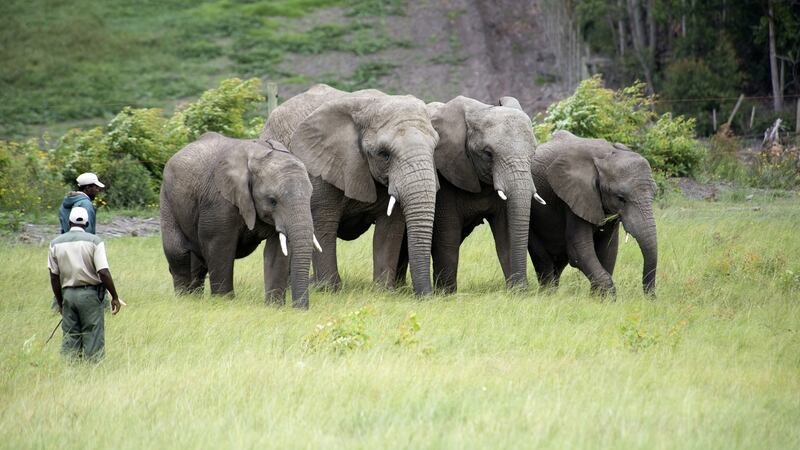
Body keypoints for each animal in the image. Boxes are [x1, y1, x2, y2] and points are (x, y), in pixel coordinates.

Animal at [160, 132, 318, 308]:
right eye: (272, 201)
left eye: (310, 196)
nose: (299, 309)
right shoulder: (219, 200)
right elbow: (220, 245)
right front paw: (223, 302)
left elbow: (277, 251)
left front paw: (274, 307)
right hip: (167, 199)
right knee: (178, 252)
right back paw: (184, 299)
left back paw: (194, 299)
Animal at [260, 84, 439, 296]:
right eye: (384, 154)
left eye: (434, 148)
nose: (426, 295)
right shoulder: (320, 167)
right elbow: (323, 222)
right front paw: (329, 290)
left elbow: (389, 228)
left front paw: (384, 291)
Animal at [527, 130, 658, 296]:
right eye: (620, 198)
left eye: (654, 193)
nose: (651, 297)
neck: (606, 154)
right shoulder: (574, 196)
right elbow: (579, 250)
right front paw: (607, 297)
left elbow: (609, 249)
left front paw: (597, 298)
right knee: (543, 259)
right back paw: (547, 294)